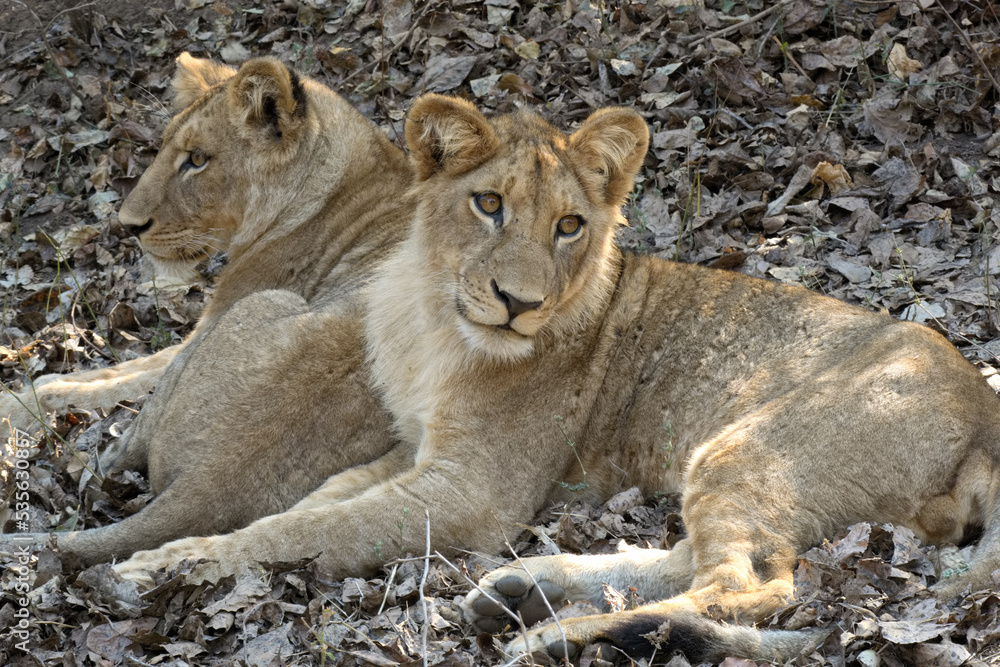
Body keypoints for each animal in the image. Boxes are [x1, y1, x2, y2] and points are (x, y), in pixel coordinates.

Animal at [2, 53, 404, 563]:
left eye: (196, 160)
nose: (128, 226)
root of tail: (212, 480)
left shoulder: (212, 322)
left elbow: (108, 380)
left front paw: (16, 402)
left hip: (263, 305)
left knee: (125, 446)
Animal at [111, 96, 1000, 663]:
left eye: (570, 225)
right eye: (488, 204)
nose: (519, 303)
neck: (434, 319)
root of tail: (988, 407)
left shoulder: (474, 491)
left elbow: (315, 529)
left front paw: (164, 563)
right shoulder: (415, 447)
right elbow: (316, 503)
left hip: (752, 445)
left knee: (752, 589)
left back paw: (551, 636)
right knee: (697, 561)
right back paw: (523, 590)